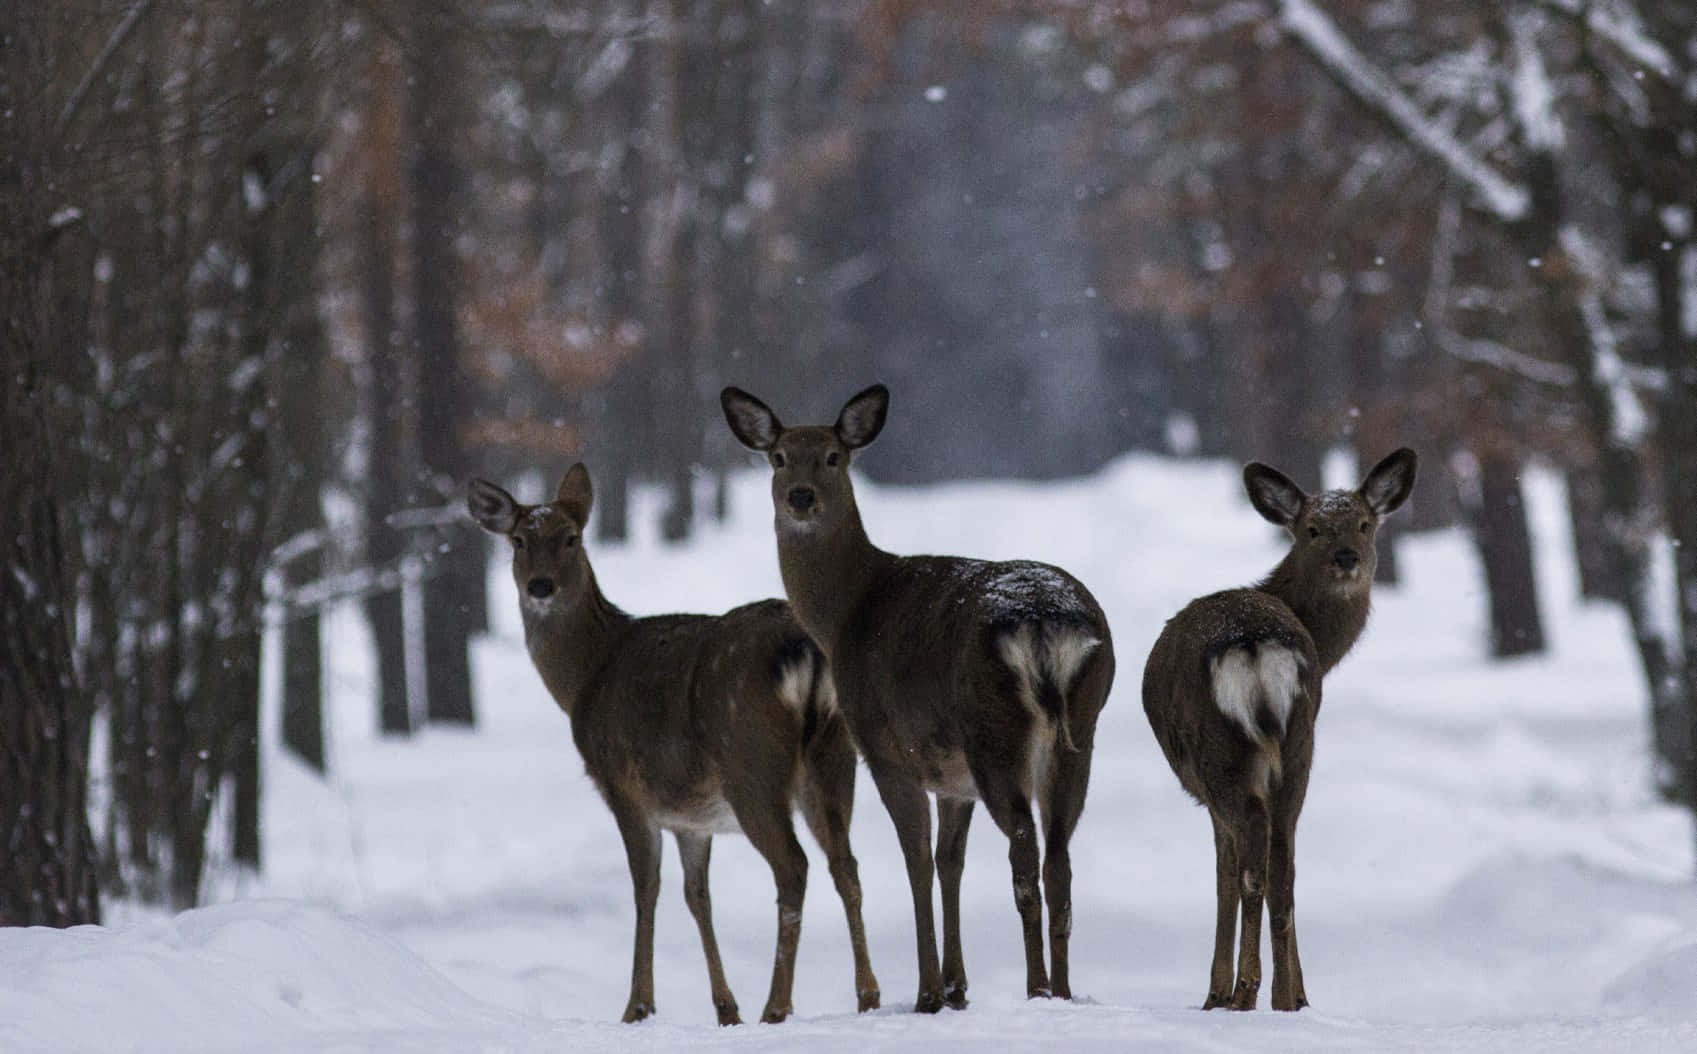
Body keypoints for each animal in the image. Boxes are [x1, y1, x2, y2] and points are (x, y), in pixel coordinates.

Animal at [466, 463, 880, 1026]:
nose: (541, 586)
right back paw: (867, 995)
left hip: (751, 763)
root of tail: (806, 652)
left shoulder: (623, 786)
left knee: (794, 867)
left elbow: (647, 889)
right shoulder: (691, 816)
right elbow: (696, 895)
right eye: (518, 540)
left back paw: (777, 1005)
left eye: (571, 538)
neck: (585, 677)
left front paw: (637, 1006)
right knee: (846, 865)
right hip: (833, 758)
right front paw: (725, 1008)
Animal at [720, 384, 1116, 1013]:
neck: (845, 616)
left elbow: (917, 863)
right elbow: (949, 862)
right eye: (778, 457)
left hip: (993, 729)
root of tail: (1046, 623)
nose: (801, 497)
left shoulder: (886, 750)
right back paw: (1064, 990)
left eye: (833, 456)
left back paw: (1036, 988)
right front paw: (957, 987)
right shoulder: (951, 776)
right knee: (1059, 859)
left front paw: (929, 991)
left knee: (1025, 854)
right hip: (1081, 725)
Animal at [1141, 447, 1417, 1012]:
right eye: (1313, 529)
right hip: (1299, 747)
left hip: (1223, 754)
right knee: (1283, 866)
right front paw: (1296, 995)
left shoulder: (1206, 793)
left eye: (1363, 524)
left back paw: (1244, 993)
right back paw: (1287, 999)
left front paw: (1214, 993)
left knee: (1254, 866)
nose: (1346, 558)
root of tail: (1254, 646)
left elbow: (1224, 877)